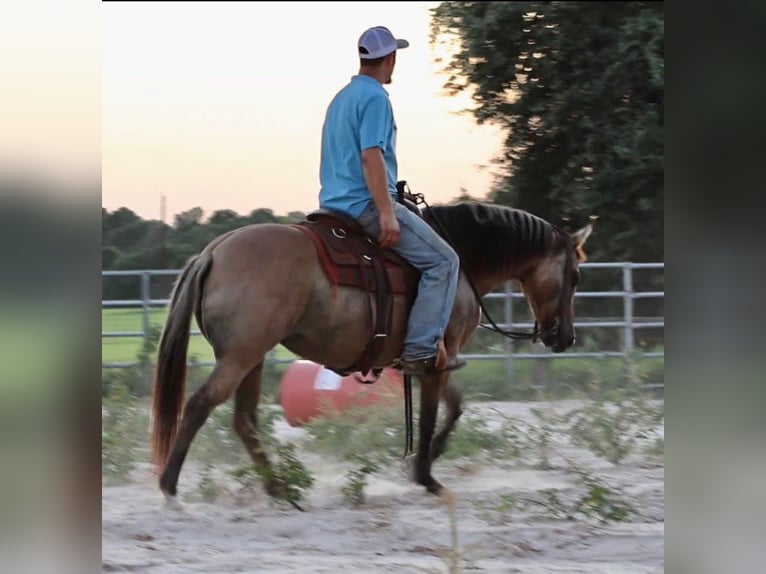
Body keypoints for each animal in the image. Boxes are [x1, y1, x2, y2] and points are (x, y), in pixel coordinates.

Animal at [150, 200, 592, 507]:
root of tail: (215, 251)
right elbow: (430, 418)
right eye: (574, 276)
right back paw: (170, 489)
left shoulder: (430, 363)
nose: (565, 337)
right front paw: (426, 476)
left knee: (244, 422)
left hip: (252, 358)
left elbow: (455, 407)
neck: (462, 262)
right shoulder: (437, 363)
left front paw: (429, 459)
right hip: (240, 357)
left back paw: (280, 490)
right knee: (199, 405)